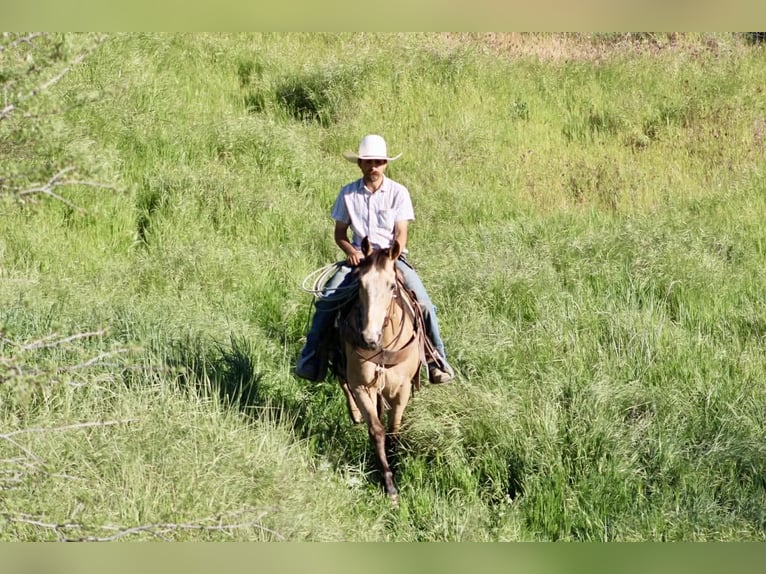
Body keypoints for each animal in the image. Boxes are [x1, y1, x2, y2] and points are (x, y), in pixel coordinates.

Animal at [334, 237, 423, 506]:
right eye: (360, 283)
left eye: (391, 285)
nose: (369, 338)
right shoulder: (362, 386)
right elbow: (377, 430)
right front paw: (389, 484)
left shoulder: (402, 389)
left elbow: (393, 430)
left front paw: (396, 464)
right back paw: (355, 414)